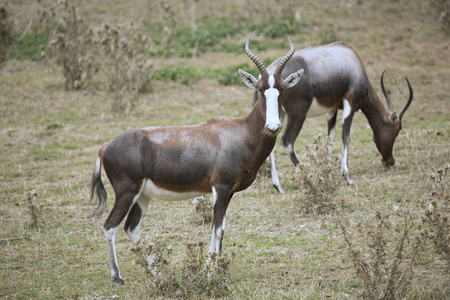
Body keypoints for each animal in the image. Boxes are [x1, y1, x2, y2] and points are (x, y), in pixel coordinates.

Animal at [89, 35, 304, 286]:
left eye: (281, 89)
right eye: (260, 89)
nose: (273, 127)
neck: (239, 132)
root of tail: (104, 147)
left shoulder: (227, 192)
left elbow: (220, 230)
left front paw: (215, 272)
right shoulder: (221, 188)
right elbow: (217, 230)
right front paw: (212, 275)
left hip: (142, 195)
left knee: (131, 228)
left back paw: (159, 276)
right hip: (127, 192)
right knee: (109, 226)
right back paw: (118, 278)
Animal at [255, 41, 414, 192]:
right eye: (397, 130)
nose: (389, 161)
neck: (352, 61)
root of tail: (269, 74)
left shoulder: (331, 109)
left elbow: (330, 137)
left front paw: (329, 175)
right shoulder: (350, 103)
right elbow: (346, 136)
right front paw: (347, 178)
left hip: (278, 114)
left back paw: (278, 187)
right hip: (298, 114)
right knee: (287, 141)